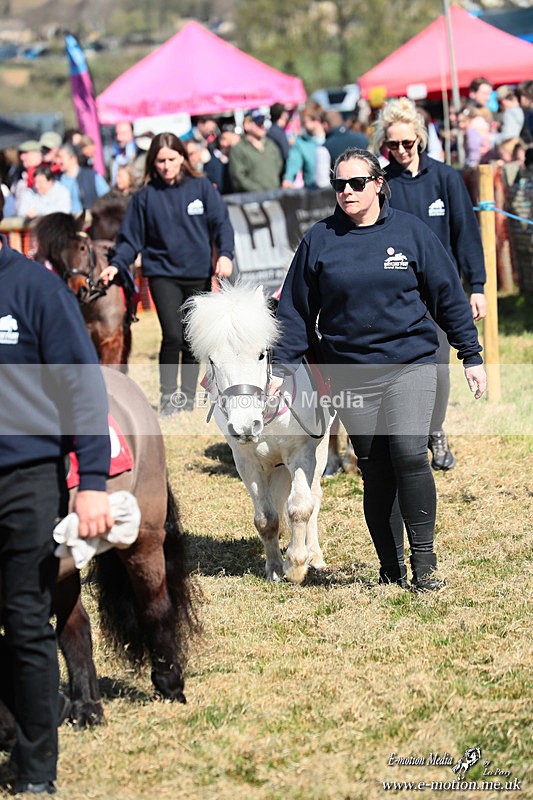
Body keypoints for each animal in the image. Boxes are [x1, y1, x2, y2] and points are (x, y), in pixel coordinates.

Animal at [184, 282, 333, 585]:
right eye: (213, 360)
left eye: (262, 354)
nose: (244, 426)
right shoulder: (247, 462)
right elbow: (266, 518)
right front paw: (275, 568)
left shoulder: (302, 454)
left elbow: (300, 507)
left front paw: (296, 565)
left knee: (314, 496)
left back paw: (314, 556)